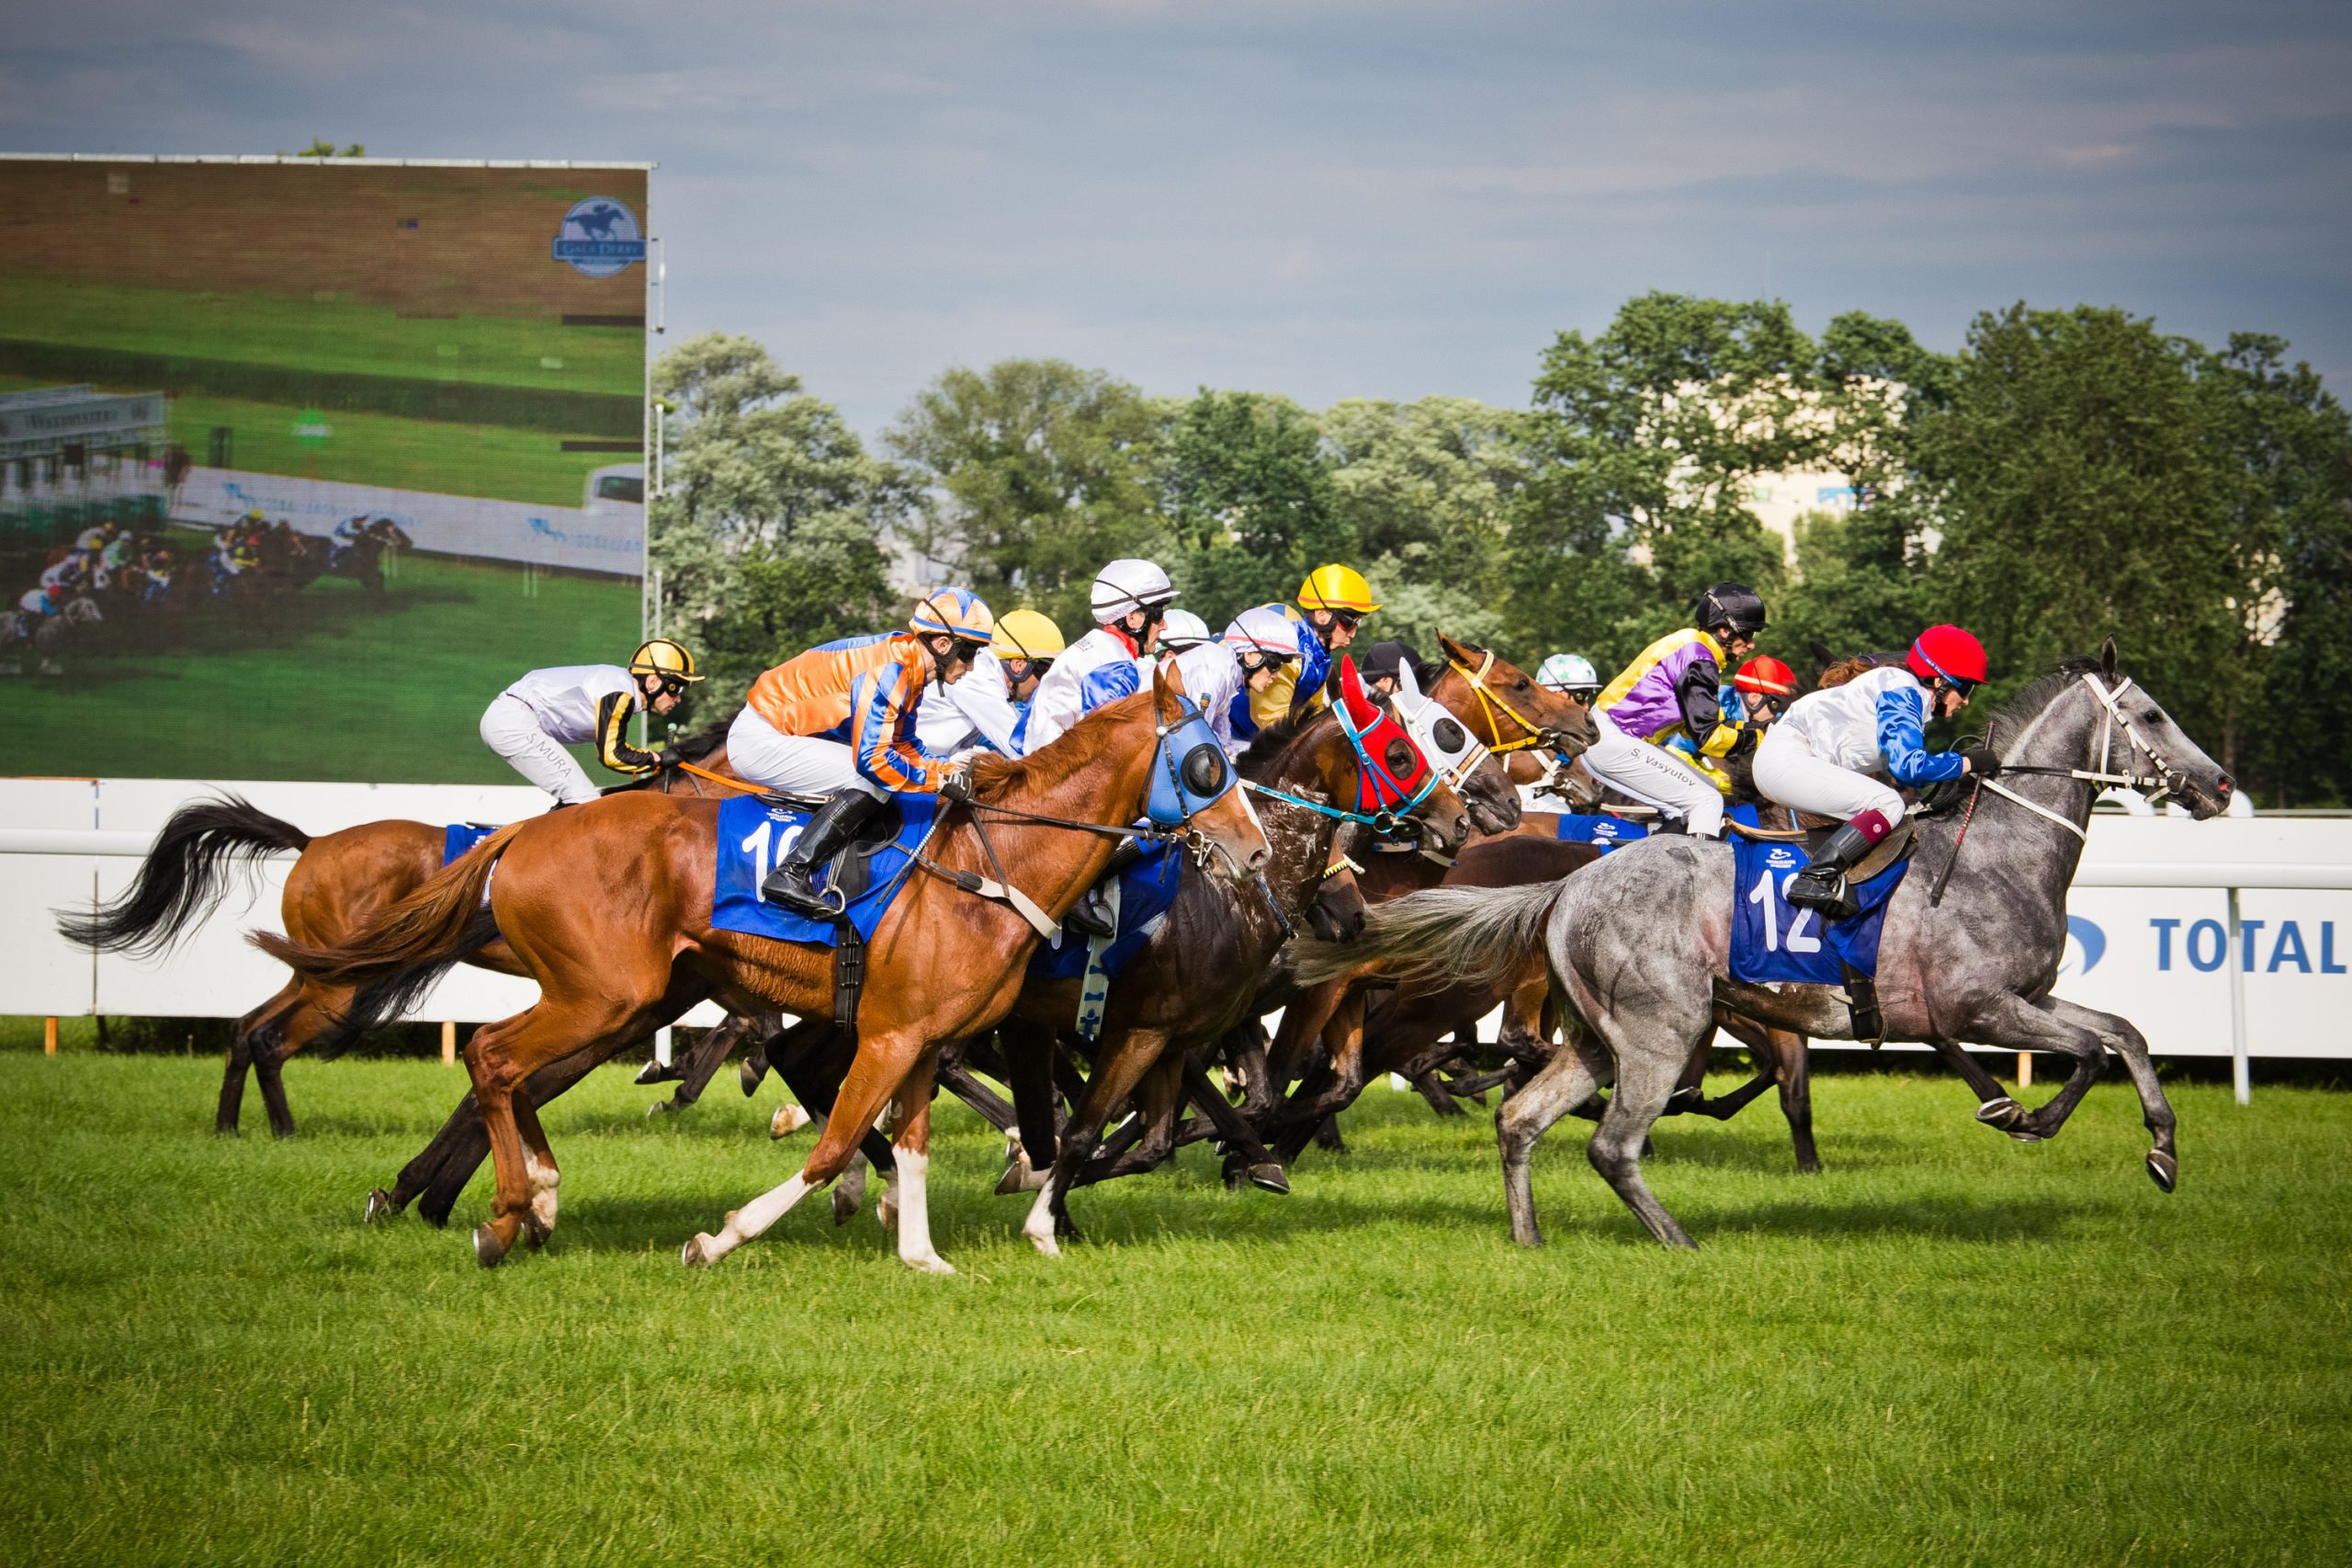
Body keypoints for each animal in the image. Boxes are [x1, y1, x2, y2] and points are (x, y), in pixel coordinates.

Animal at [257, 671, 1270, 1279]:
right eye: (1205, 762)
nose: (1257, 848)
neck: (993, 865)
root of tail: (523, 834)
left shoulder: (925, 1038)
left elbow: (910, 1145)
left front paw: (923, 1256)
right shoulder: (892, 1034)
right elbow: (832, 1148)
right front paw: (721, 1236)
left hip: (629, 998)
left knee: (506, 1069)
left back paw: (526, 1199)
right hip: (604, 995)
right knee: (497, 1060)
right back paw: (505, 1213)